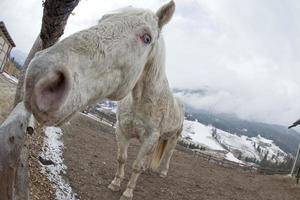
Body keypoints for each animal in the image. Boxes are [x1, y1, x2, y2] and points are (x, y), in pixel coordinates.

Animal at [24, 1, 183, 200]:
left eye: (147, 38)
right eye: (102, 20)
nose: (40, 75)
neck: (140, 103)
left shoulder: (150, 137)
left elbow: (136, 166)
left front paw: (128, 192)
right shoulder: (122, 130)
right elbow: (122, 158)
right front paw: (115, 183)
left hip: (173, 138)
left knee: (167, 154)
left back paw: (162, 171)